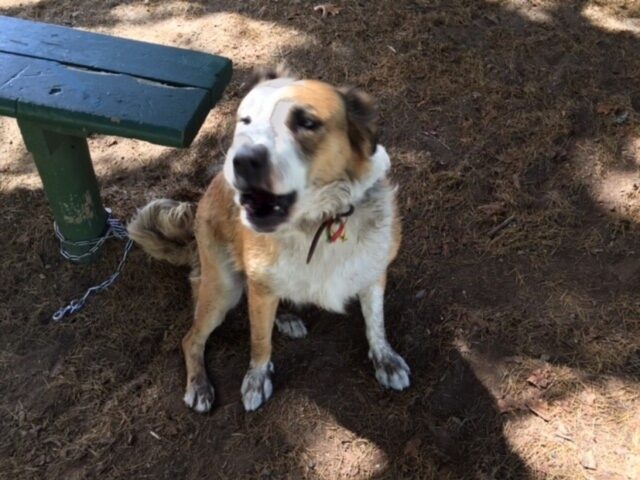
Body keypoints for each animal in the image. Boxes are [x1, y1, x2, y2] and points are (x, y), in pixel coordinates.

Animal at [128, 66, 410, 412]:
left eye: (306, 123)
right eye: (245, 121)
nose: (242, 160)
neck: (318, 222)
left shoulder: (373, 273)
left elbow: (376, 323)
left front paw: (385, 360)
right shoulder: (260, 293)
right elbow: (259, 342)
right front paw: (256, 379)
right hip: (223, 289)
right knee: (192, 338)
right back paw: (199, 385)